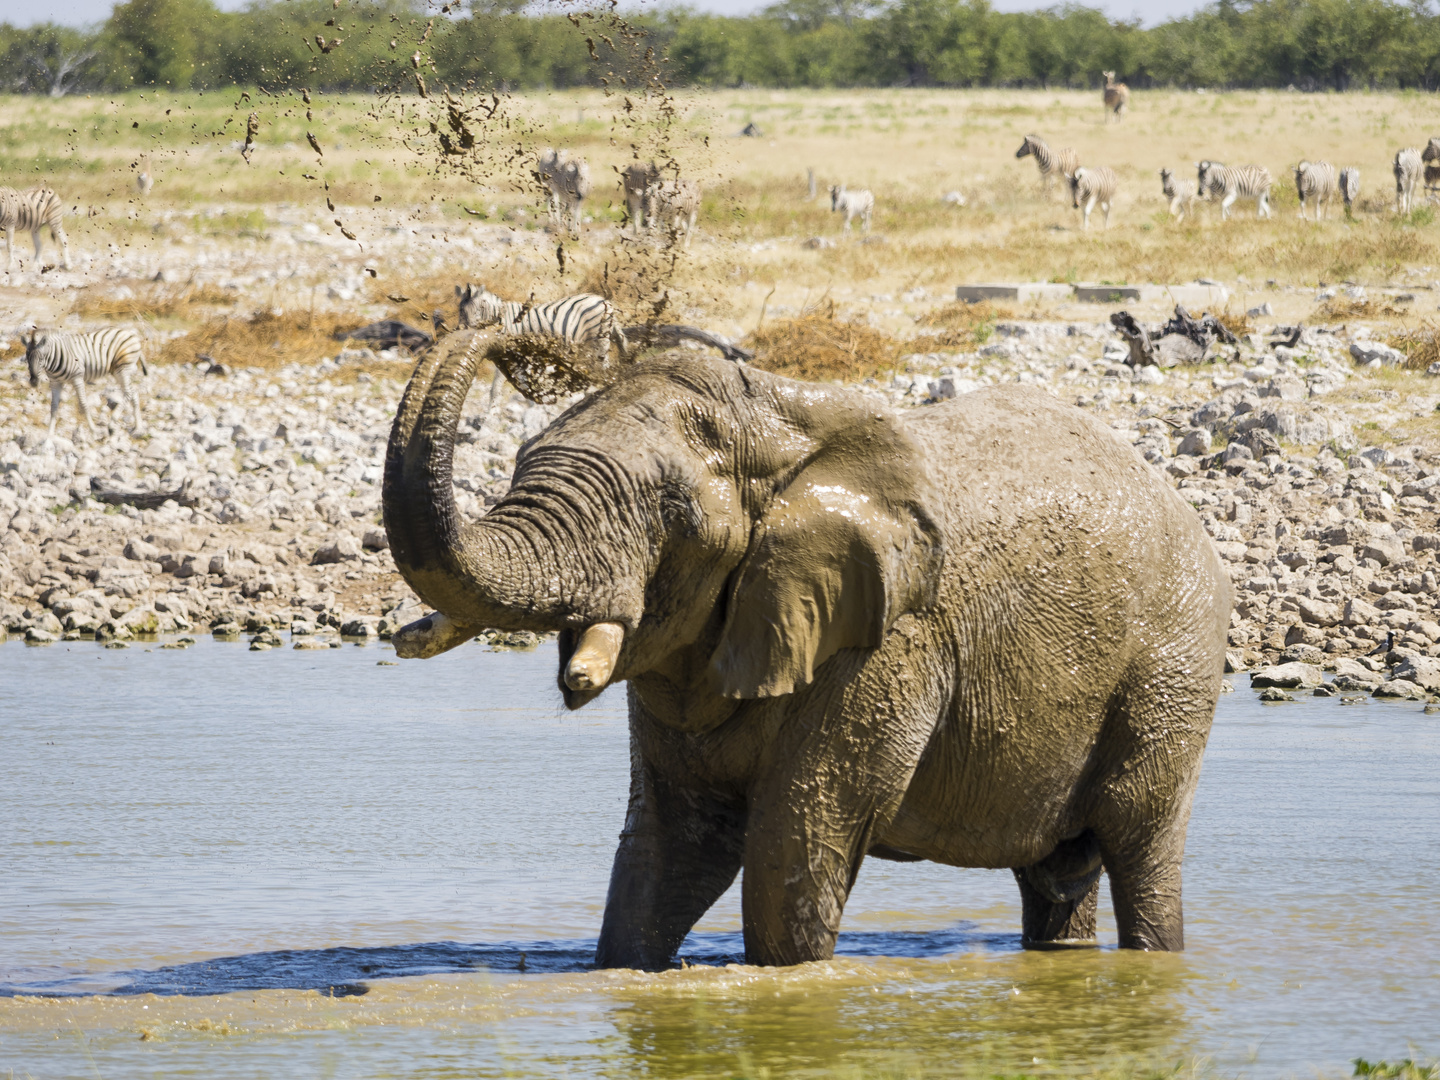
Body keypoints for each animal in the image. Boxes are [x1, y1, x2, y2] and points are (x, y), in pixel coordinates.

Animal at [385, 347, 1238, 973]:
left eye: (673, 512)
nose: (497, 327)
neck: (777, 417)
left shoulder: (889, 644)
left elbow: (790, 844)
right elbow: (669, 849)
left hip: (1171, 663)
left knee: (1140, 847)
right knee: (1059, 873)